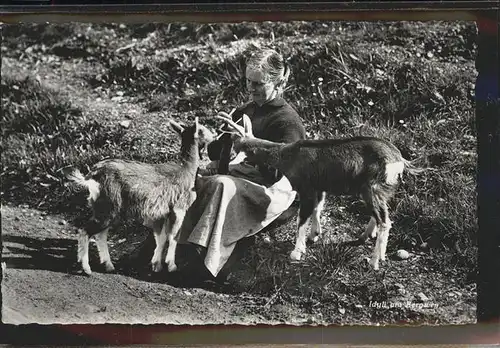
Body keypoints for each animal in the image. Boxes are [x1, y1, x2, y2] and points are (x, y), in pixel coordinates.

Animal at [63, 118, 215, 276]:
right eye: (202, 129)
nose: (214, 134)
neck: (186, 169)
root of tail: (91, 176)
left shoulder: (160, 213)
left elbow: (161, 237)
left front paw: (156, 265)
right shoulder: (178, 208)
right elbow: (173, 237)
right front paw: (171, 266)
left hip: (104, 208)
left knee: (101, 235)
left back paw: (108, 265)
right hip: (108, 206)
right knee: (85, 231)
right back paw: (87, 268)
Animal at [215, 113, 426, 270]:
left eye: (236, 147)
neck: (288, 156)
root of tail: (399, 160)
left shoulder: (306, 188)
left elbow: (302, 218)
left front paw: (296, 252)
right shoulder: (319, 187)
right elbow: (318, 208)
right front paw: (314, 235)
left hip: (372, 188)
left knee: (385, 221)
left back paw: (374, 262)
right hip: (378, 191)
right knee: (381, 215)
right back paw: (368, 240)